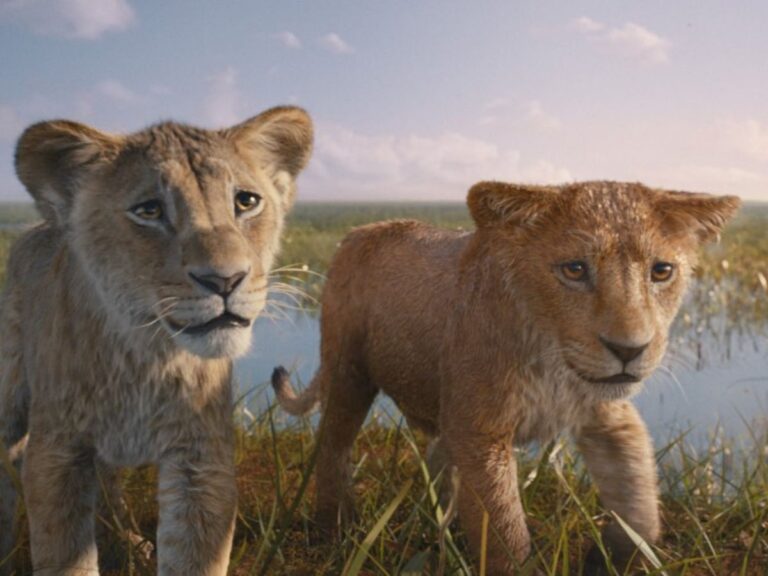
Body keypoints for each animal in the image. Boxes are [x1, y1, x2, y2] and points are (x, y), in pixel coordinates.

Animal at [0, 106, 312, 576]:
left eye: (246, 201)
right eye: (149, 210)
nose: (225, 280)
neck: (146, 356)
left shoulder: (201, 461)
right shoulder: (57, 454)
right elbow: (65, 556)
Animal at [272, 180, 740, 574]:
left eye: (661, 271)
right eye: (574, 269)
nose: (629, 351)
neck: (552, 362)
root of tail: (360, 230)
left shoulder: (608, 418)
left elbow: (640, 501)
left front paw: (615, 556)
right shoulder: (481, 432)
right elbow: (505, 530)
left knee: (439, 459)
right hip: (348, 371)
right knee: (333, 446)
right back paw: (335, 530)